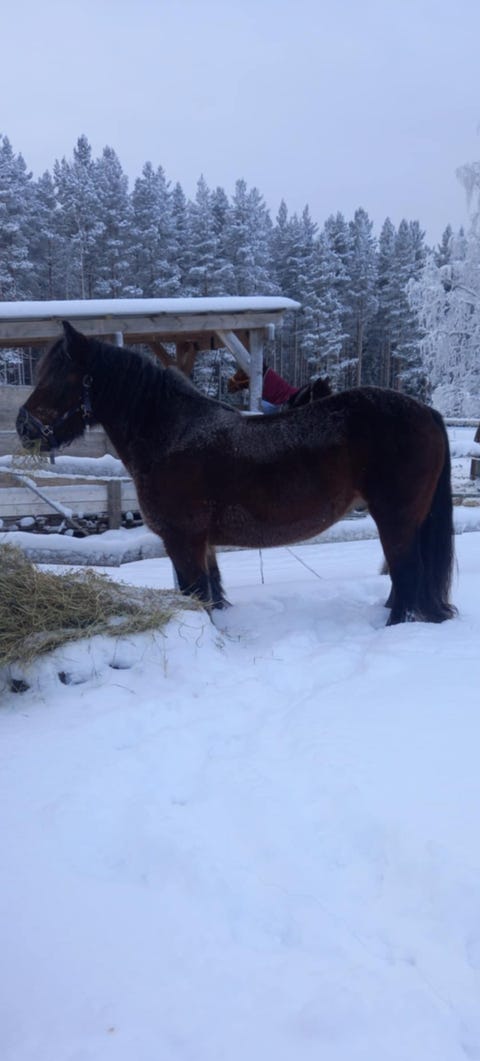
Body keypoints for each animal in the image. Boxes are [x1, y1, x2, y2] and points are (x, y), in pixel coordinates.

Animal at [16, 321, 456, 625]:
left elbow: (196, 595)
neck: (170, 434)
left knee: (406, 575)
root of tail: (428, 413)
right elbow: (212, 593)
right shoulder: (202, 544)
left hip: (395, 519)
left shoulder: (183, 540)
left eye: (59, 378)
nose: (23, 427)